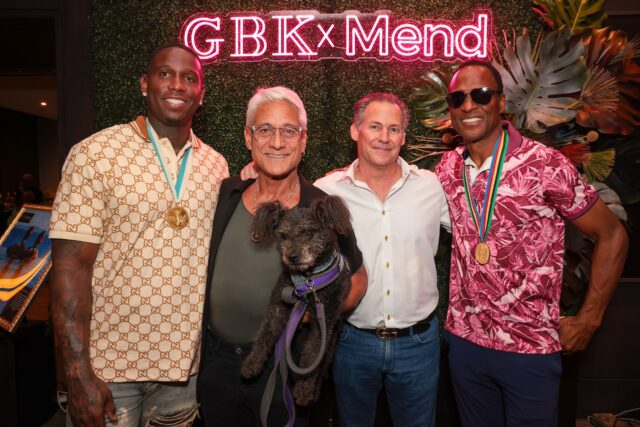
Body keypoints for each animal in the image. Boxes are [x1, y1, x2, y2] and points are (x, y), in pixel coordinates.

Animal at [240, 196, 352, 406]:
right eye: (283, 236)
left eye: (308, 232)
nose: (292, 256)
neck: (308, 281)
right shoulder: (278, 306)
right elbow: (265, 334)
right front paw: (252, 362)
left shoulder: (324, 322)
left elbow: (312, 357)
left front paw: (304, 390)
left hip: (333, 339)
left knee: (323, 365)